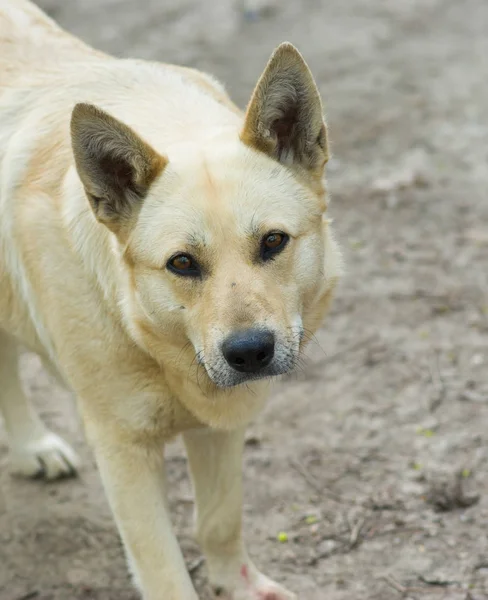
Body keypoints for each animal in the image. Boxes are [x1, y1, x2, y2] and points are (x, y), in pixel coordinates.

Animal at [0, 2, 344, 596]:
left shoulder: (219, 421)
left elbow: (220, 520)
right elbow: (162, 568)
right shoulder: (122, 450)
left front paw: (237, 584)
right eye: (182, 263)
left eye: (273, 241)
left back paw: (30, 449)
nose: (249, 352)